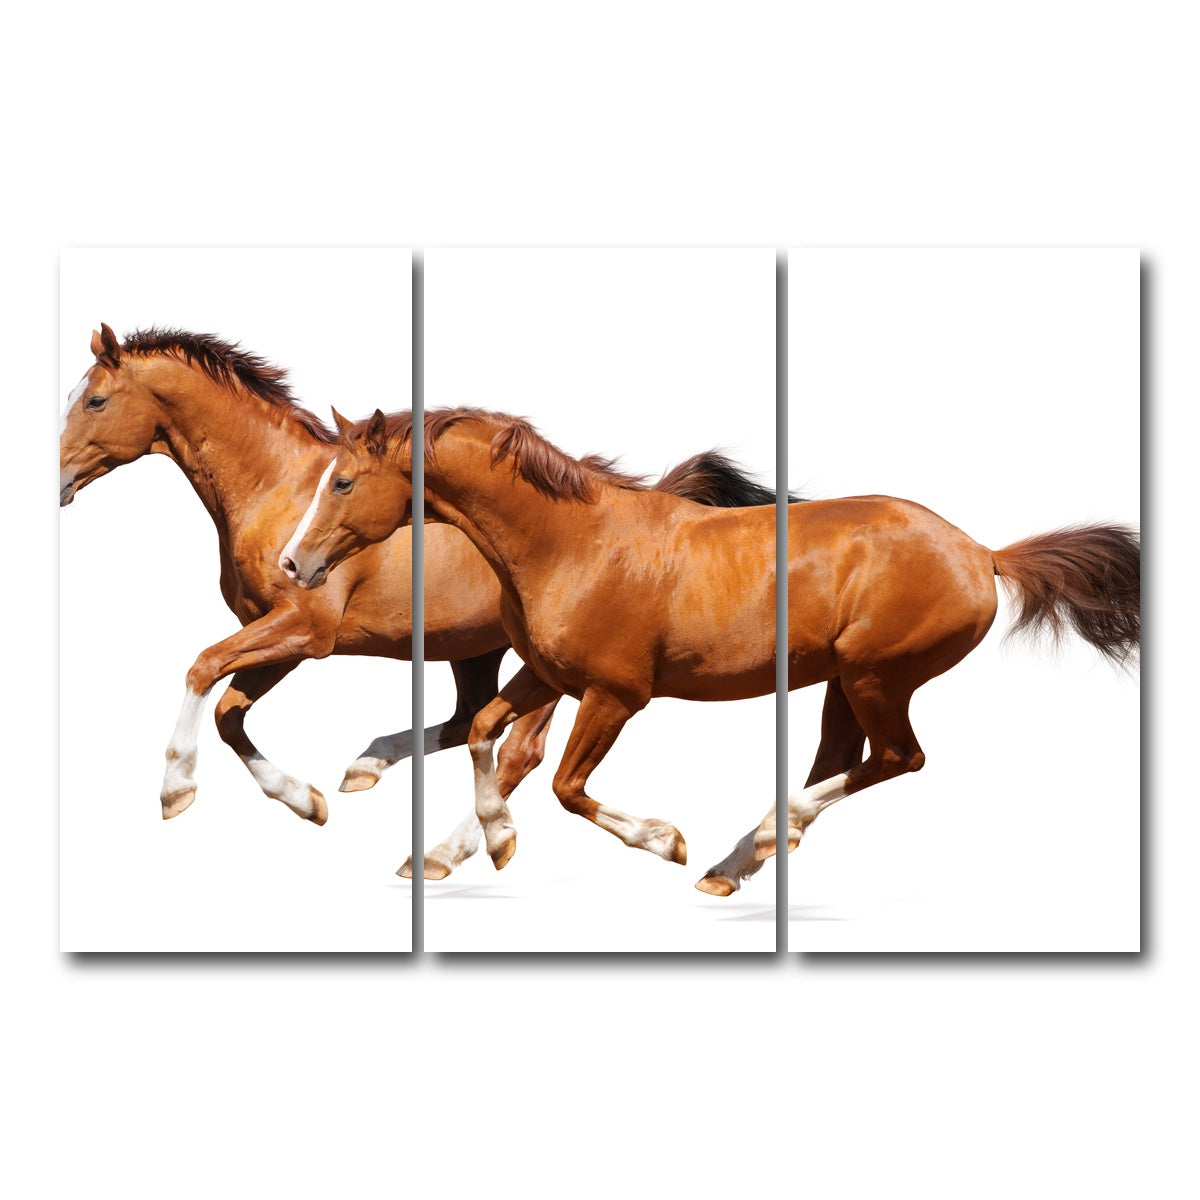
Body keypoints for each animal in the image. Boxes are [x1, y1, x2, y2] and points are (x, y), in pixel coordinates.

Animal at [60, 326, 779, 876]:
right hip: (481, 653)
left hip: (550, 670)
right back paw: (384, 786)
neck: (278, 488)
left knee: (517, 751)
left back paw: (449, 847)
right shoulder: (282, 639)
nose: (60, 481)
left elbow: (203, 669)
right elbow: (229, 713)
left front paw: (176, 791)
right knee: (469, 724)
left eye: (93, 399)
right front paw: (308, 801)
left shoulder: (304, 629)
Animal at [280, 406, 1140, 897]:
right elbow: (487, 732)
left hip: (877, 675)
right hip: (843, 681)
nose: (293, 563)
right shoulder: (547, 674)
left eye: (345, 482)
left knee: (899, 759)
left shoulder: (616, 694)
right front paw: (493, 842)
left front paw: (663, 840)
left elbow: (564, 786)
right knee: (842, 759)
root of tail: (983, 553)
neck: (570, 543)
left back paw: (750, 844)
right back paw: (736, 865)